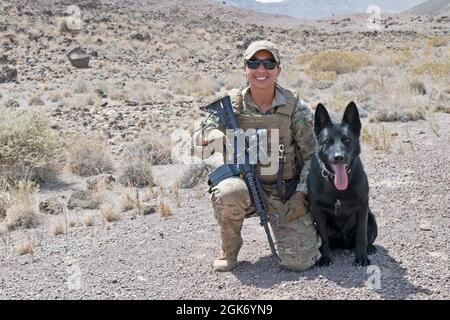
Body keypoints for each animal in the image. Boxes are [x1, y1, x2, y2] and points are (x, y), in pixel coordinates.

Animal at [308, 102, 378, 268]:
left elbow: (361, 235)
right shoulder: (317, 210)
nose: (338, 157)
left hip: (372, 218)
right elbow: (323, 238)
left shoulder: (363, 206)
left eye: (347, 140)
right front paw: (324, 258)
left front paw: (361, 257)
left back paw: (370, 248)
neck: (336, 186)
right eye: (328, 142)